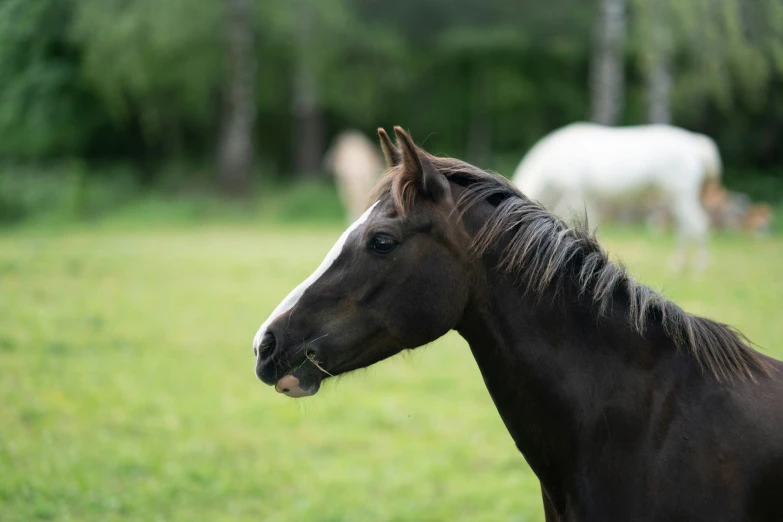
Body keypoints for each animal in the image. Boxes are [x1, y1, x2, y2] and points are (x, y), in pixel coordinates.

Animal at [516, 121, 724, 268]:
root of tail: (695, 144)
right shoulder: (586, 197)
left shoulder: (575, 193)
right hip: (676, 197)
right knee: (686, 227)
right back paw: (678, 265)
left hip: (681, 195)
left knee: (698, 224)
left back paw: (699, 268)